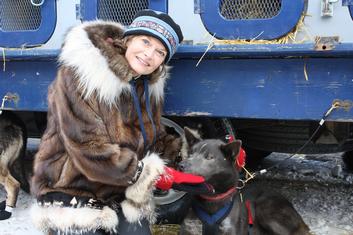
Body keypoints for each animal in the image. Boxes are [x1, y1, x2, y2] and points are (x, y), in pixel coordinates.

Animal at [177, 127, 310, 234]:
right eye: (190, 154)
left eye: (209, 157)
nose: (181, 165)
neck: (212, 198)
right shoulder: (189, 228)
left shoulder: (230, 229)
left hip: (265, 210)